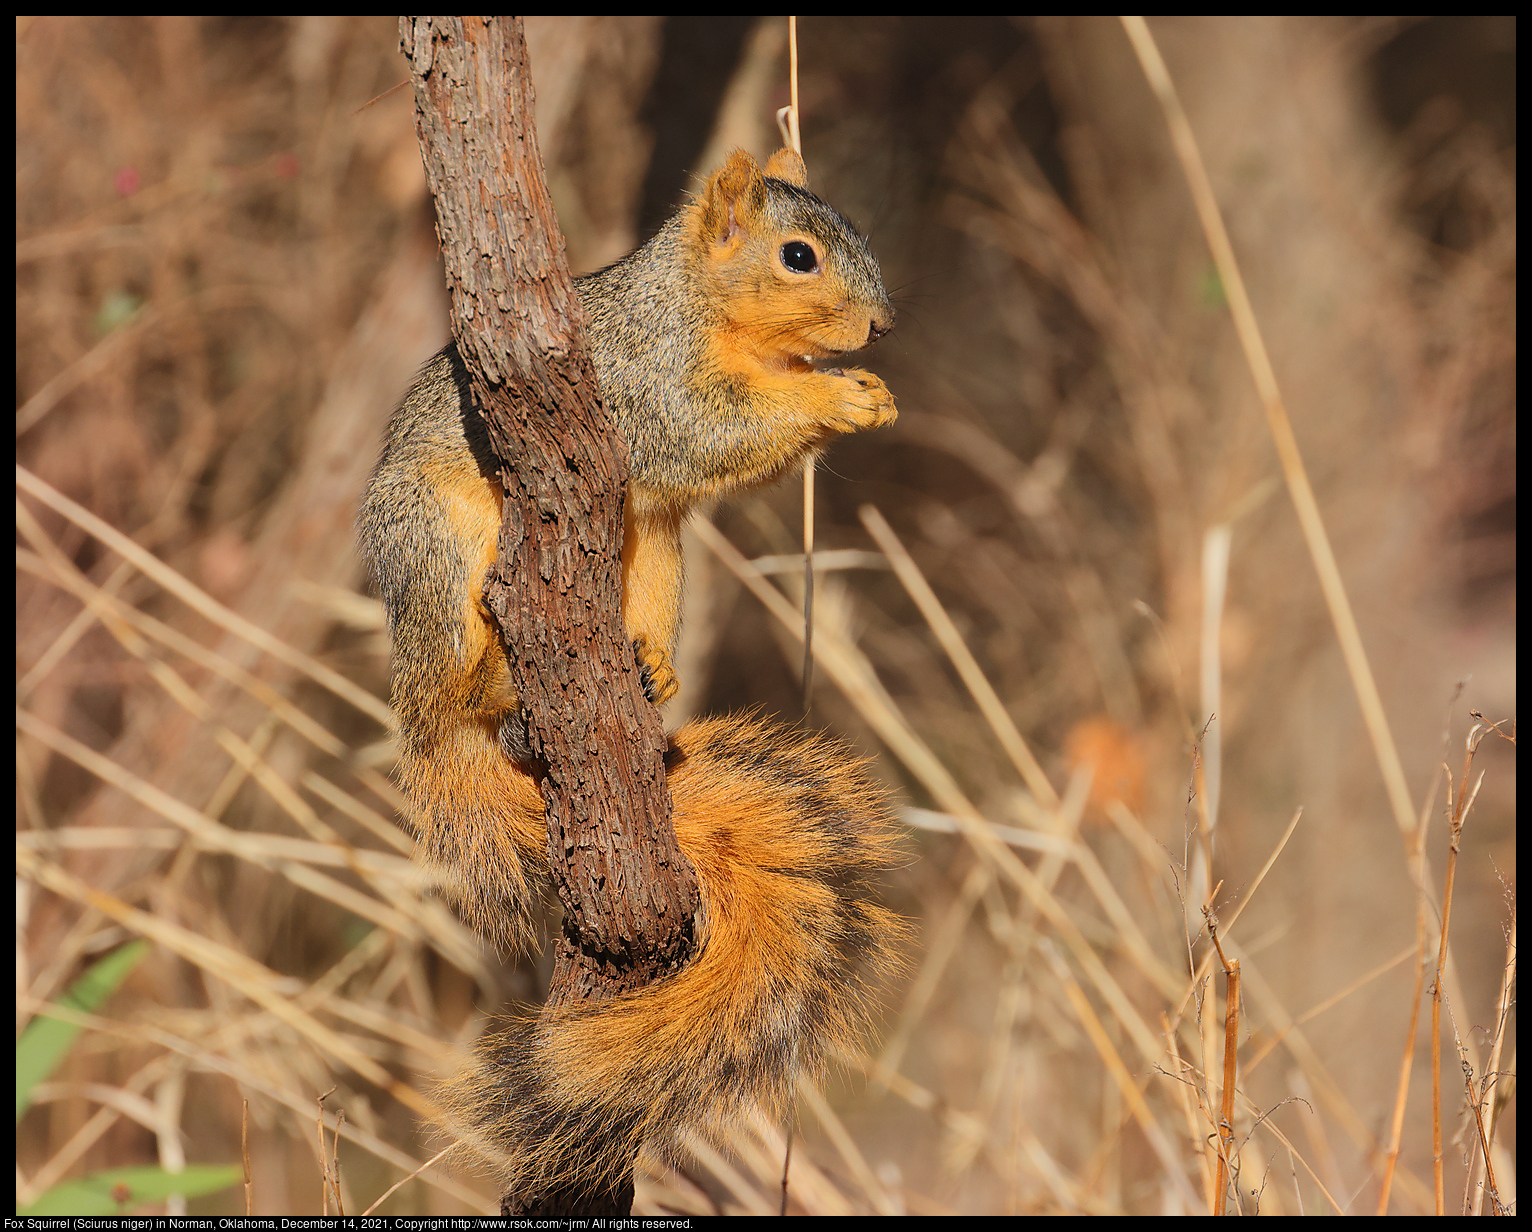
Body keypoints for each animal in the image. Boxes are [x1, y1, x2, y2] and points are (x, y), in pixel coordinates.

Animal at [356, 149, 900, 1201]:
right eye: (799, 256)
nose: (884, 326)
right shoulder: (645, 386)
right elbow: (703, 432)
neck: (700, 309)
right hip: (437, 550)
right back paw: (488, 683)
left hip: (655, 556)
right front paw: (843, 399)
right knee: (453, 679)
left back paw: (646, 673)